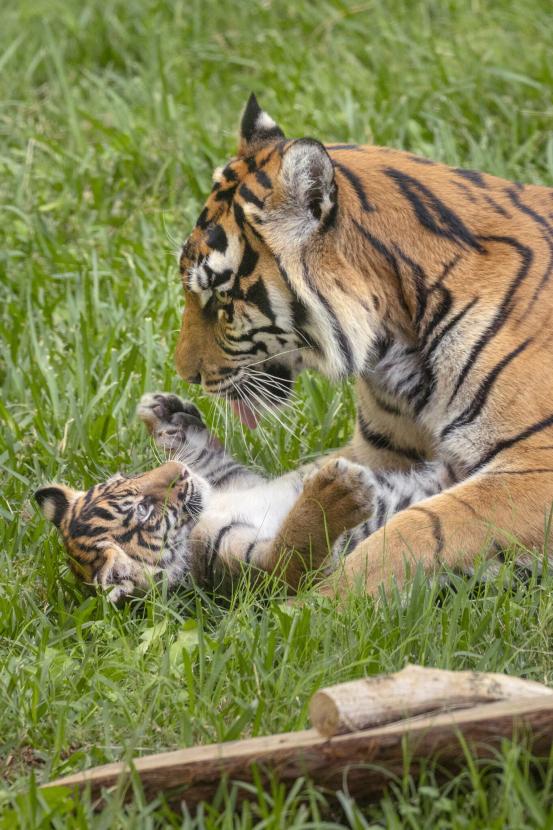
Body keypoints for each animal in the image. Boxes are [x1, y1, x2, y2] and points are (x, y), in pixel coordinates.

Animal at [173, 92, 553, 598]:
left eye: (220, 296)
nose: (186, 375)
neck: (398, 339)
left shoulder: (536, 464)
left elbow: (420, 528)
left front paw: (321, 606)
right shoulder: (382, 454)